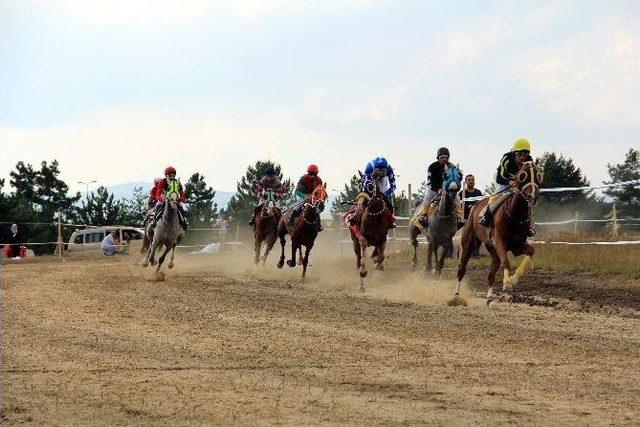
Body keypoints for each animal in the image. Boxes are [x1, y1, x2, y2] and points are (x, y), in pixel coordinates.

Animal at [452, 160, 544, 304]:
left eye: (539, 175)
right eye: (523, 175)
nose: (532, 196)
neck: (514, 215)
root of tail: (474, 206)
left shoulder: (517, 245)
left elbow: (530, 251)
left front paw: (514, 279)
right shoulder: (499, 242)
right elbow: (506, 261)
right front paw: (507, 283)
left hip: (493, 250)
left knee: (491, 273)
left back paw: (489, 296)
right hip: (468, 243)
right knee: (462, 268)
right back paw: (456, 295)